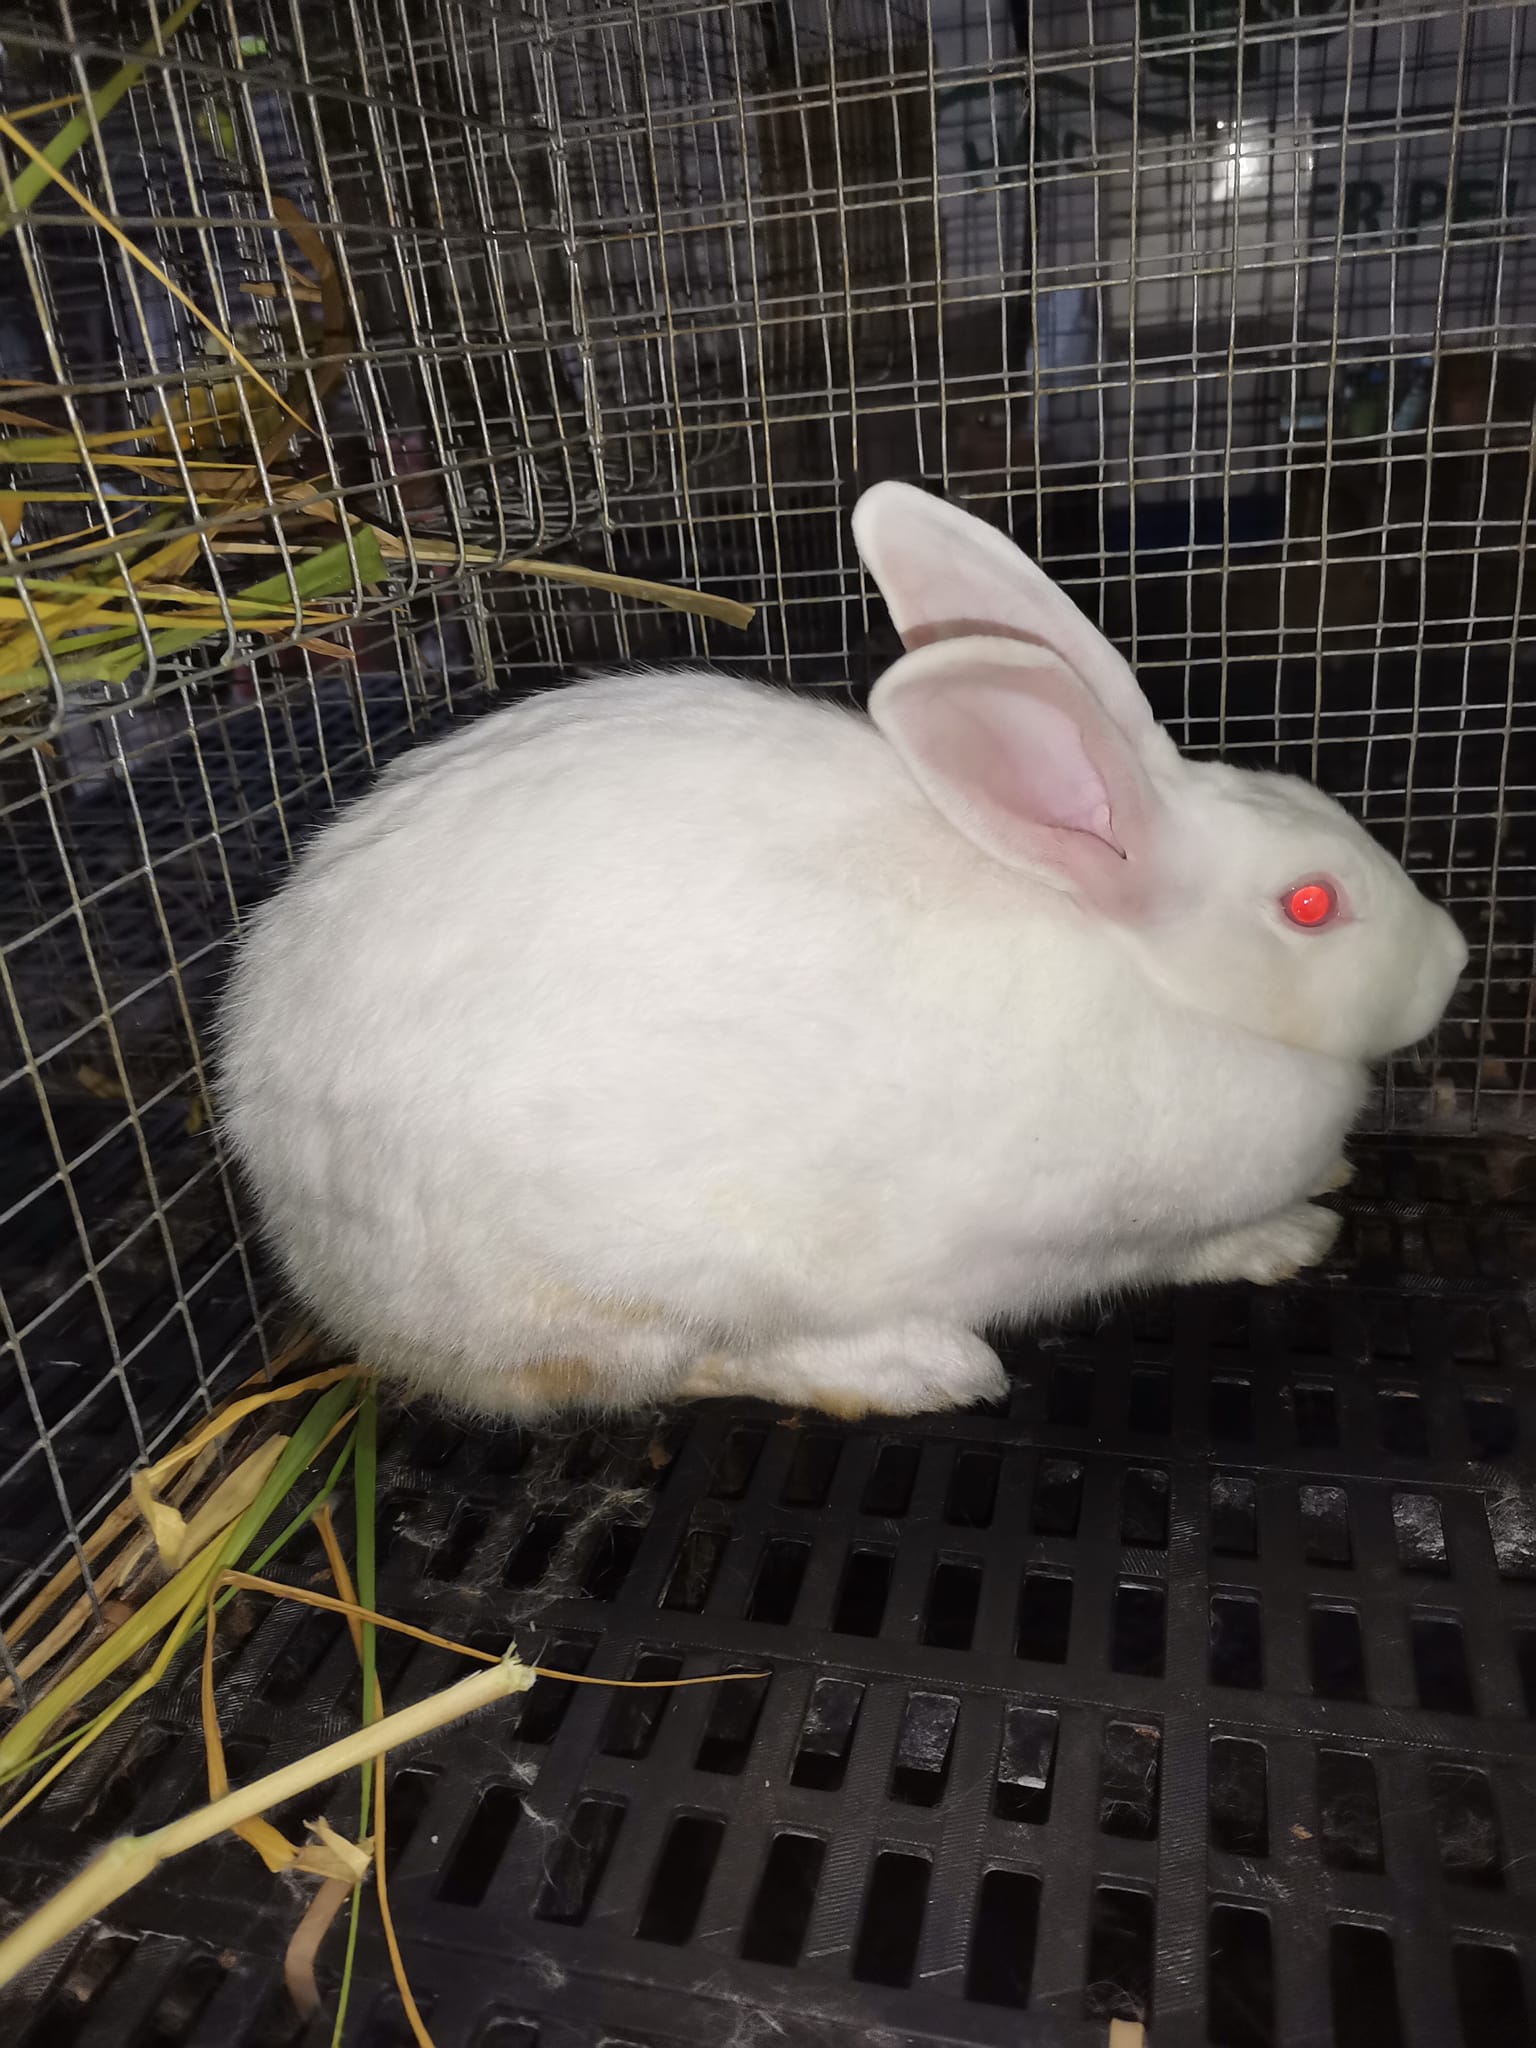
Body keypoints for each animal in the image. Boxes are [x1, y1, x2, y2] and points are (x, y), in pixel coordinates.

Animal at [218, 483, 1468, 1422]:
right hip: (636, 1288)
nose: (1455, 959)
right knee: (685, 1366)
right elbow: (1196, 1247)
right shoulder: (1107, 1235)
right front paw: (1297, 1232)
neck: (1161, 972)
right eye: (1311, 903)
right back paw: (919, 1366)